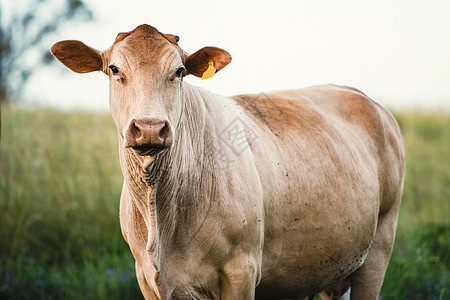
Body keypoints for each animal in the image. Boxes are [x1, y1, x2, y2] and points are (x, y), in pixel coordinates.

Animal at [51, 24, 406, 300]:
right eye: (114, 69)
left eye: (178, 71)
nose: (150, 127)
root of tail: (365, 99)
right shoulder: (146, 278)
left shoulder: (242, 271)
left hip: (379, 248)